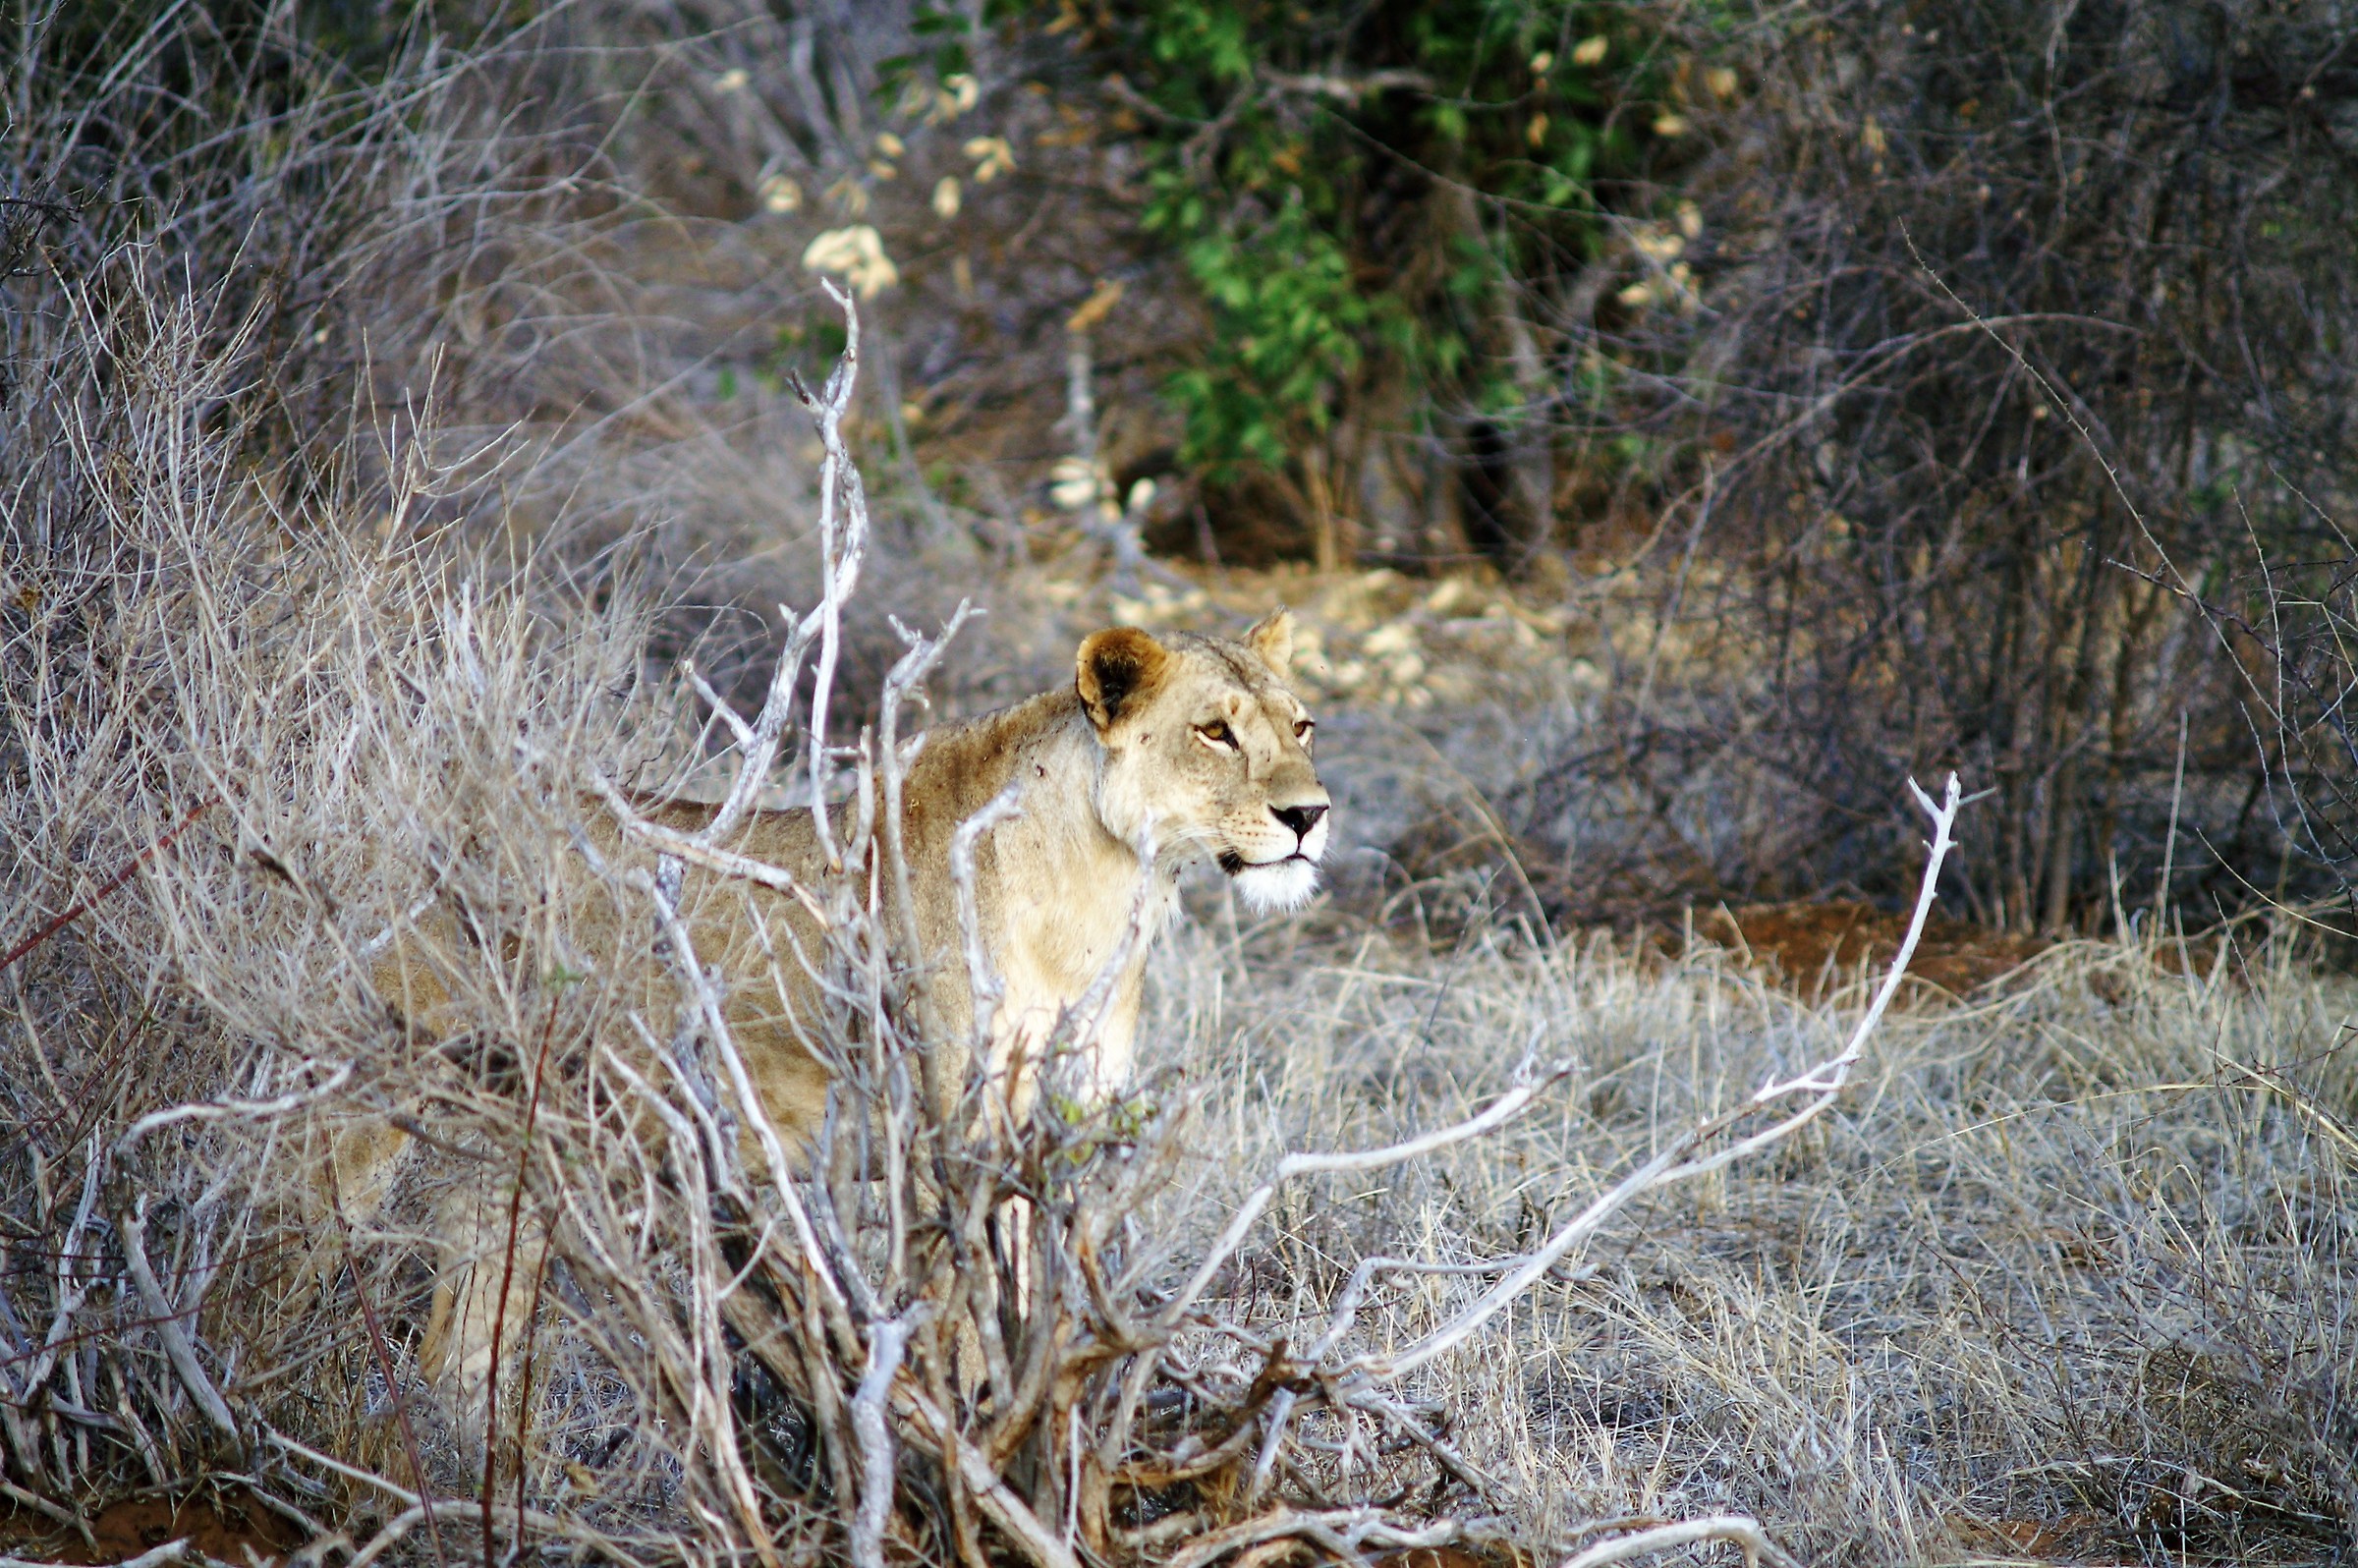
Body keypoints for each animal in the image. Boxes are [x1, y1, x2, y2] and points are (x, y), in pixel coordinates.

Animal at [346, 611, 1329, 1408]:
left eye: (1301, 725)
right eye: (1215, 733)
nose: (1311, 815)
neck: (1103, 895)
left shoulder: (1047, 1140)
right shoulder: (945, 1149)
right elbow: (968, 1333)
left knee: (460, 1340)